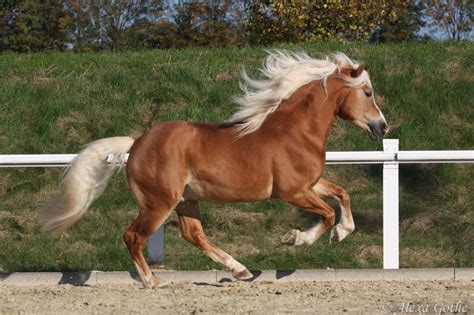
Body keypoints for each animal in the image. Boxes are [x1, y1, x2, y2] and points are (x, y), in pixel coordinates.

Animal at [40, 50, 388, 288]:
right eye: (368, 93)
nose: (382, 127)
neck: (294, 130)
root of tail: (137, 142)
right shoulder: (292, 191)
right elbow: (327, 214)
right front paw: (296, 238)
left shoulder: (310, 184)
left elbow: (342, 194)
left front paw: (342, 233)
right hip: (158, 202)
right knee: (133, 235)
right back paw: (152, 281)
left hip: (186, 200)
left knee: (193, 234)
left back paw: (240, 269)